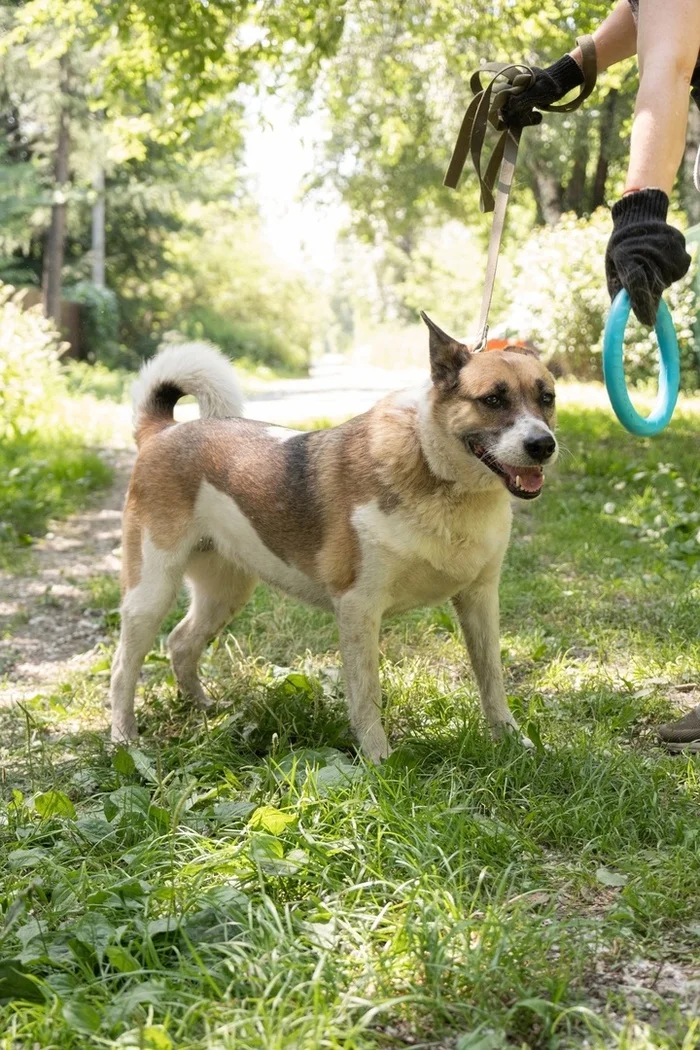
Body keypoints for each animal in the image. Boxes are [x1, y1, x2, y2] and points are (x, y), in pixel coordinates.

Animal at [109, 315, 558, 760]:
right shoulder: (358, 607)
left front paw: (511, 740)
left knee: (181, 642)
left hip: (225, 591)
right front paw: (379, 761)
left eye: (547, 398)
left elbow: (492, 679)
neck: (435, 470)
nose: (543, 445)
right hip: (150, 592)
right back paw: (123, 740)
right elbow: (366, 694)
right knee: (122, 668)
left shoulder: (480, 599)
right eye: (493, 400)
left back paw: (202, 708)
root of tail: (162, 431)